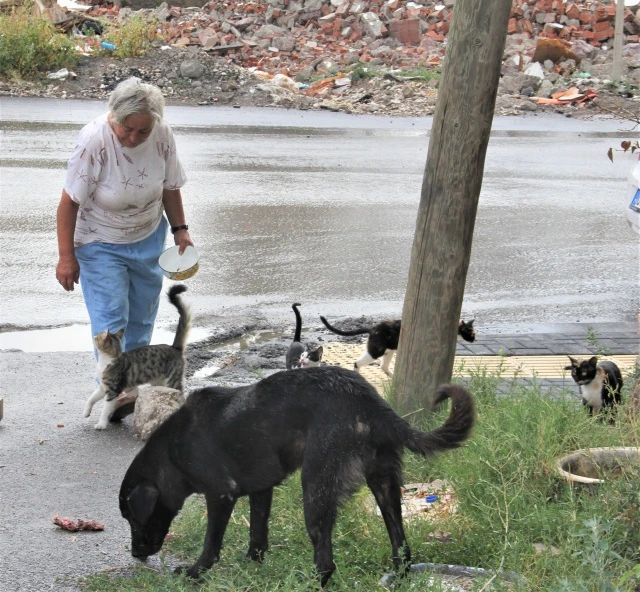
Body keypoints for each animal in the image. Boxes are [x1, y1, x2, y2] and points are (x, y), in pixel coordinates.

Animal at [81, 284, 190, 428]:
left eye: (97, 337)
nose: (94, 336)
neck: (107, 360)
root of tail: (174, 347)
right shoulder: (102, 387)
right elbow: (90, 398)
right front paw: (86, 412)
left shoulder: (112, 391)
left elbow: (105, 409)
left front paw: (101, 424)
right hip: (159, 382)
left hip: (172, 380)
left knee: (181, 395)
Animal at [120, 366, 472, 588]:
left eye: (134, 519)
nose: (135, 554)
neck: (171, 451)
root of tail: (371, 403)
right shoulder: (261, 489)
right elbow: (257, 535)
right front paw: (253, 565)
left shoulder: (221, 494)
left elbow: (211, 545)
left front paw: (195, 573)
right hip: (384, 485)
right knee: (402, 547)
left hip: (315, 491)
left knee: (326, 562)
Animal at [318, 316, 476, 376]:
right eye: (470, 333)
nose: (474, 339)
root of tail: (372, 328)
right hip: (377, 351)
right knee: (357, 363)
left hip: (389, 351)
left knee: (383, 366)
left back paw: (392, 376)